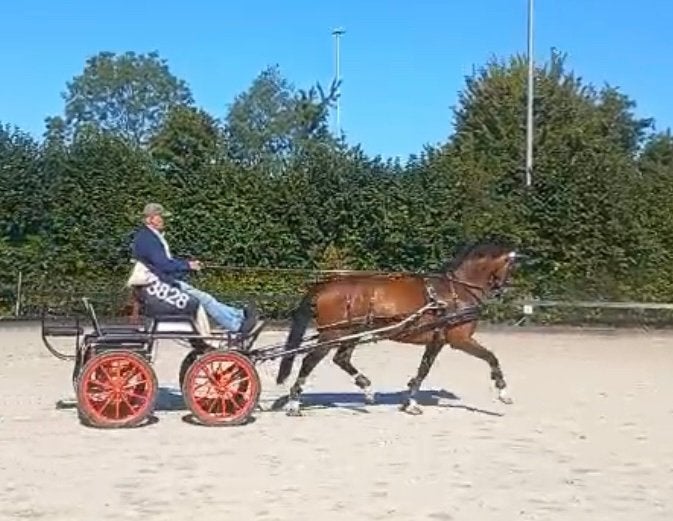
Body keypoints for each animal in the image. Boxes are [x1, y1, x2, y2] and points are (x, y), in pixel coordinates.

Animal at [274, 239, 521, 416]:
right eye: (511, 266)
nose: (503, 289)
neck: (456, 291)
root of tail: (324, 286)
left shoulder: (437, 340)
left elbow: (423, 370)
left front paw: (410, 402)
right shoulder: (459, 340)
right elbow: (491, 357)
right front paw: (504, 392)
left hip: (352, 332)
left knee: (341, 358)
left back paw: (367, 388)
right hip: (332, 334)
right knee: (309, 361)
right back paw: (294, 404)